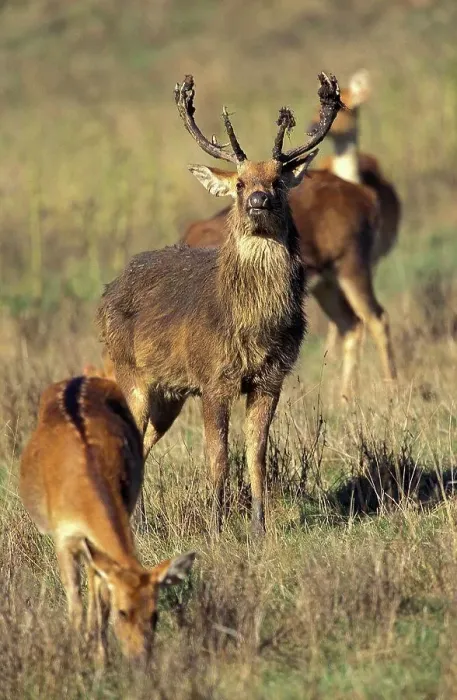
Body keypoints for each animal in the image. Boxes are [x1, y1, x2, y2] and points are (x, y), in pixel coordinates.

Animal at [19, 375, 196, 663]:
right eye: (122, 611)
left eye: (155, 614)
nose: (139, 658)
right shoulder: (63, 537)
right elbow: (76, 602)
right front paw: (79, 656)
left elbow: (99, 601)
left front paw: (100, 657)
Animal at [96, 73, 343, 537]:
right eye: (240, 184)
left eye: (278, 181)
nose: (258, 201)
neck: (252, 326)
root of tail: (107, 293)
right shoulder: (213, 378)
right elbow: (217, 458)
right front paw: (215, 527)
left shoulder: (269, 379)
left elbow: (256, 456)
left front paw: (259, 529)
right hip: (128, 369)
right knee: (128, 437)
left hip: (168, 392)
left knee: (143, 443)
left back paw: (142, 523)